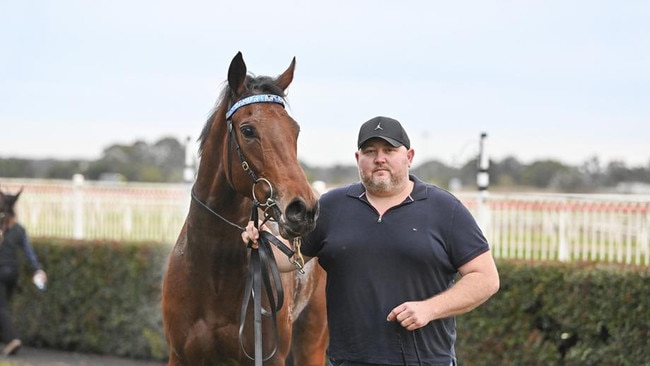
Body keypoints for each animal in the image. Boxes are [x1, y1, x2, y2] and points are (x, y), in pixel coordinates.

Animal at [160, 52, 326, 366]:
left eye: (295, 130)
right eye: (248, 130)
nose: (303, 209)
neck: (213, 276)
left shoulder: (271, 357)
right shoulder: (180, 355)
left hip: (313, 340)